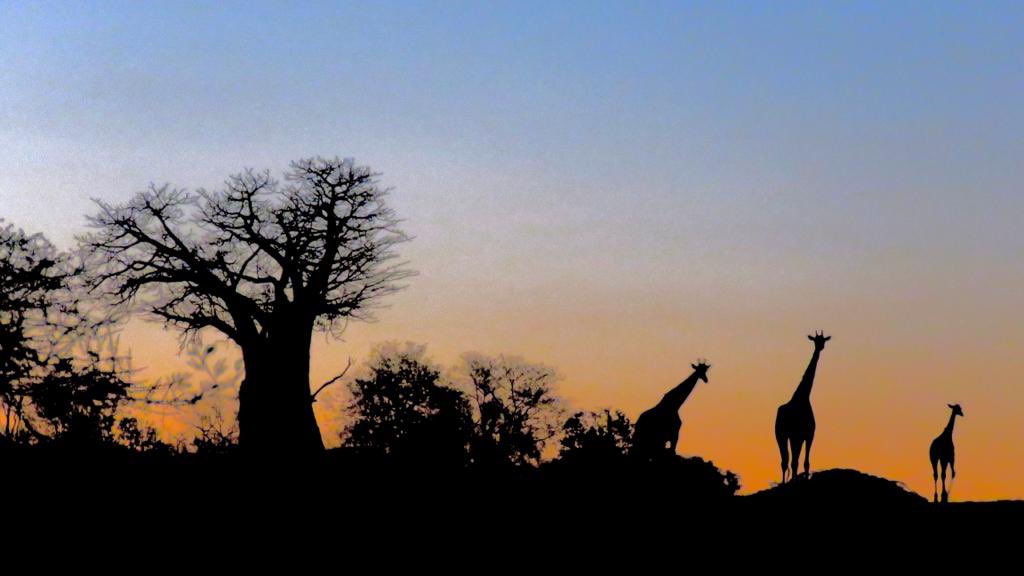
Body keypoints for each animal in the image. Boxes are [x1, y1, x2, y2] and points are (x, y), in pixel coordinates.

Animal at [774, 332, 830, 483]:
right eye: (815, 341)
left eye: (823, 340)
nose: (820, 347)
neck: (803, 397)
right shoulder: (802, 435)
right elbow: (800, 462)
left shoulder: (805, 435)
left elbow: (803, 462)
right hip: (785, 435)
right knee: (787, 461)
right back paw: (786, 481)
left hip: (786, 436)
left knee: (788, 461)